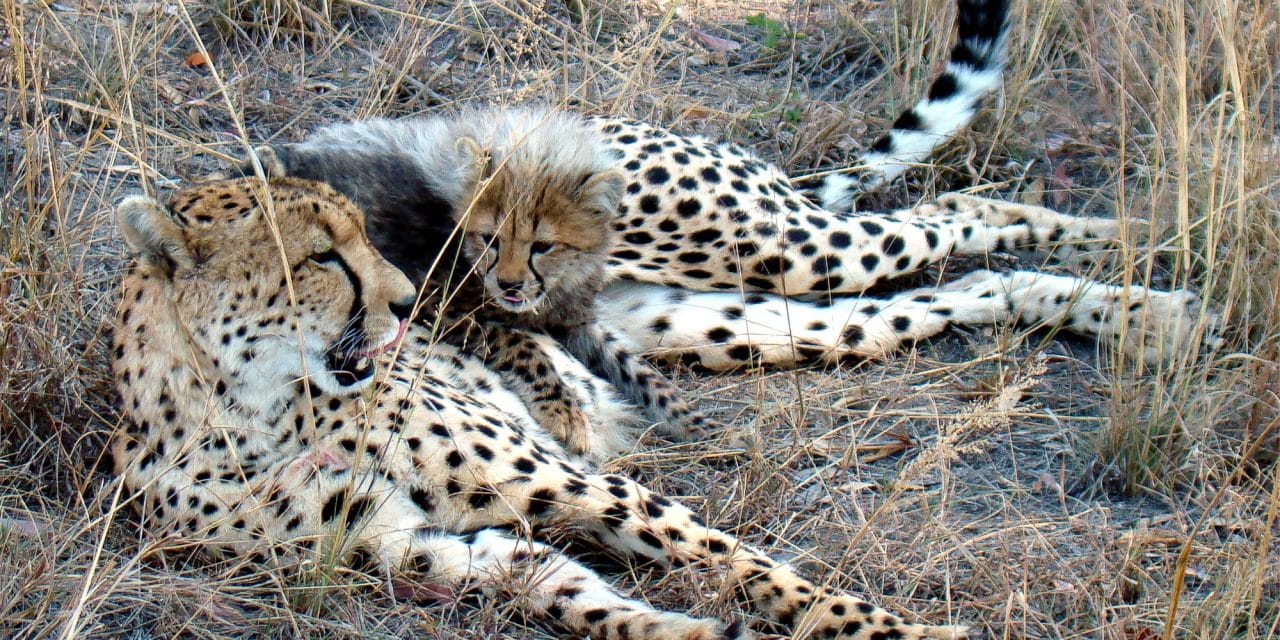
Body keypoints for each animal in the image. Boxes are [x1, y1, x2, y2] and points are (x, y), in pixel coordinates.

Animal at [110, 175, 972, 640]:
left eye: (358, 237)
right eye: (321, 257)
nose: (411, 301)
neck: (246, 410)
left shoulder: (568, 480)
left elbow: (739, 562)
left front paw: (906, 631)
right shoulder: (399, 547)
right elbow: (561, 589)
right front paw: (685, 627)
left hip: (775, 264)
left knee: (894, 245)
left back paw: (1000, 223)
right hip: (722, 326)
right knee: (894, 312)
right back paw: (1010, 286)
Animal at [218, 109, 717, 458]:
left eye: (543, 245)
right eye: (490, 239)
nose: (510, 285)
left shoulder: (574, 317)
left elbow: (632, 364)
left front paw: (685, 415)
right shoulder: (434, 304)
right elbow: (525, 346)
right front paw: (565, 413)